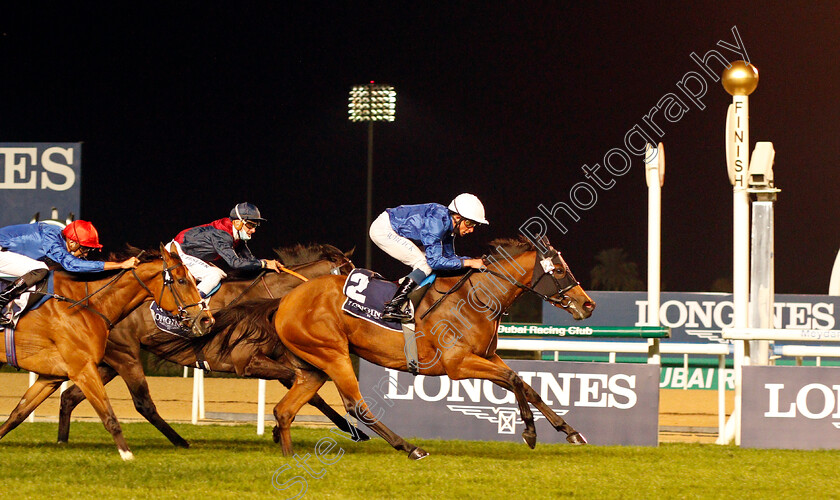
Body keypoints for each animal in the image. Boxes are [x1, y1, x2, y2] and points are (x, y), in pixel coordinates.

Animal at [0, 244, 210, 458]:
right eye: (182, 280)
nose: (206, 319)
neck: (86, 304)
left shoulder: (52, 376)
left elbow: (18, 413)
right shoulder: (83, 370)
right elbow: (109, 415)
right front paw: (126, 454)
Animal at [54, 242, 366, 446]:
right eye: (354, 277)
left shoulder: (274, 359)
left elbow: (311, 393)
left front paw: (355, 430)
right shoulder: (247, 362)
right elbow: (303, 385)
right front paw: (280, 430)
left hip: (109, 361)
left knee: (69, 396)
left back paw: (62, 440)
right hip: (125, 354)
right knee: (142, 403)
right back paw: (180, 442)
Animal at [266, 236, 592, 458]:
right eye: (559, 270)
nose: (588, 304)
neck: (477, 299)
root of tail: (285, 301)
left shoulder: (488, 356)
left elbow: (526, 386)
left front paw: (571, 432)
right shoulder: (458, 364)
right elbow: (513, 380)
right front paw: (530, 432)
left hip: (314, 366)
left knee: (284, 410)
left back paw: (288, 456)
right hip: (334, 355)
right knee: (356, 406)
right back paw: (410, 447)